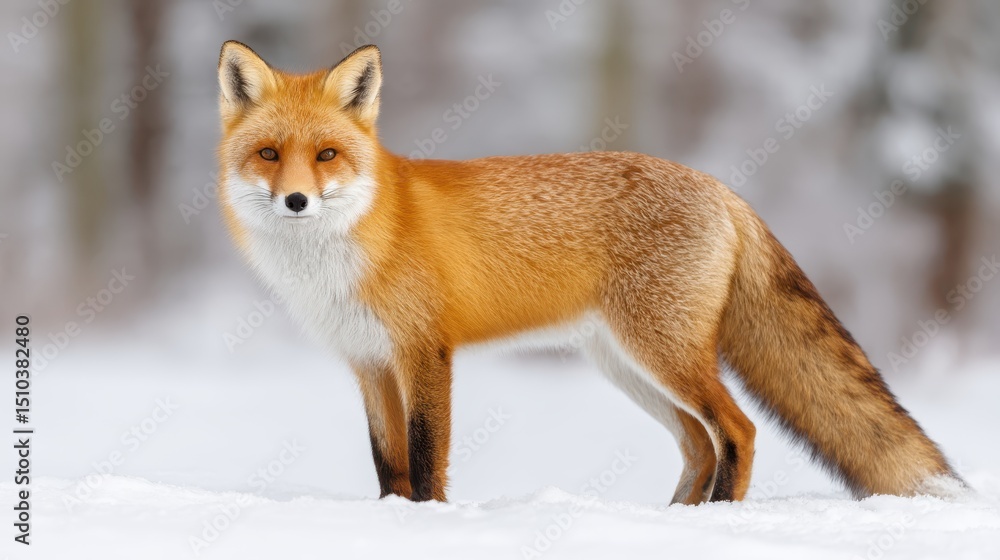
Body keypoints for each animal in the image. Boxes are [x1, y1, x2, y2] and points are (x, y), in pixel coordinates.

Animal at [216, 41, 966, 504]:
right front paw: (389, 520)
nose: (296, 200)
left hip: (663, 354)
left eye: (328, 154)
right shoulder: (368, 361)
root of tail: (723, 190)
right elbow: (388, 463)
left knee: (738, 431)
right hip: (626, 366)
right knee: (700, 445)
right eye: (269, 153)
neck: (340, 253)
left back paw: (718, 520)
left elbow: (427, 459)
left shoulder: (424, 352)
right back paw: (673, 520)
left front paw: (428, 522)